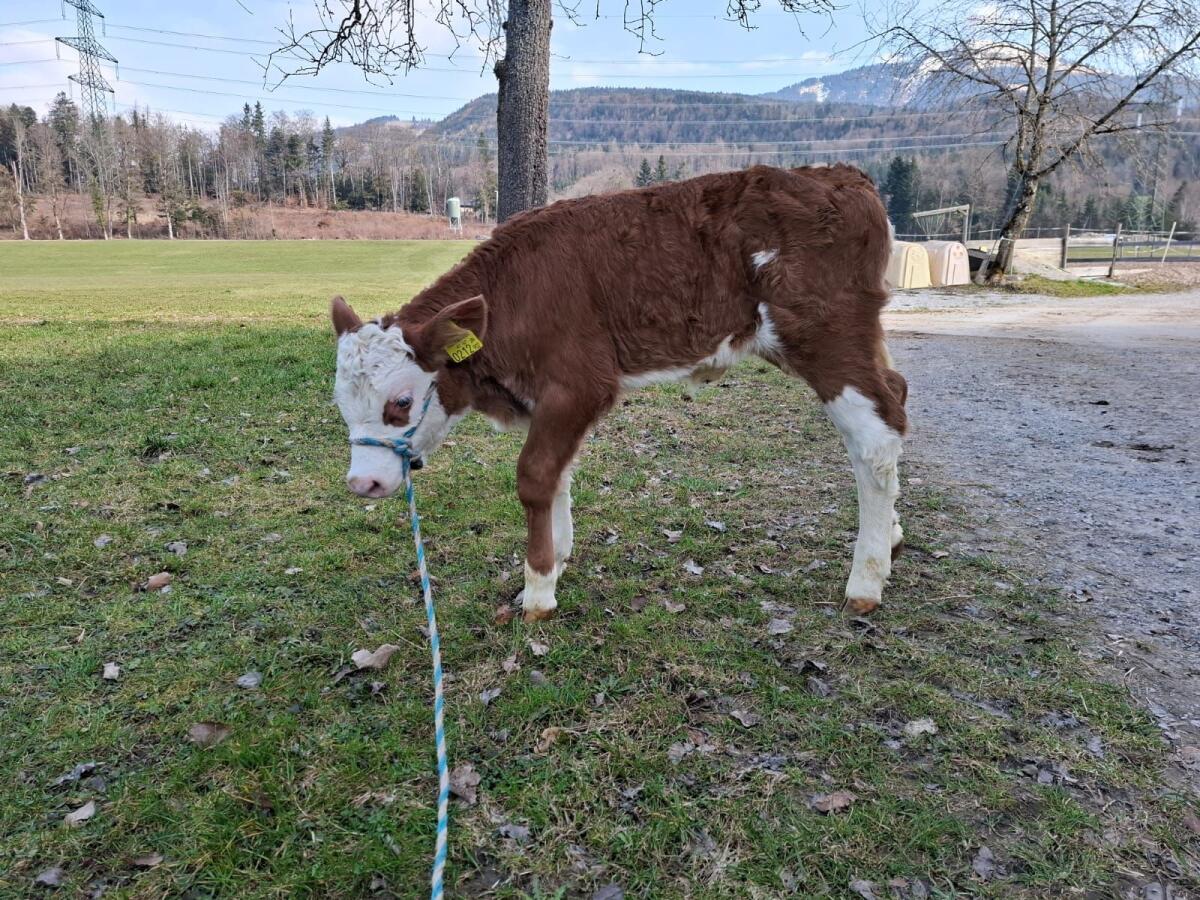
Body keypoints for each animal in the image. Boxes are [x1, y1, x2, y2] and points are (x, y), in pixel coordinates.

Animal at [331, 164, 907, 622]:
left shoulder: (579, 383)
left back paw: (866, 580)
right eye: (342, 406)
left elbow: (535, 476)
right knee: (895, 397)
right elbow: (557, 476)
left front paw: (537, 589)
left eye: (401, 402)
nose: (363, 484)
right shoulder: (550, 400)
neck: (514, 294)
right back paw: (893, 534)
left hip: (826, 336)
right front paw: (558, 559)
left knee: (874, 440)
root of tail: (838, 174)